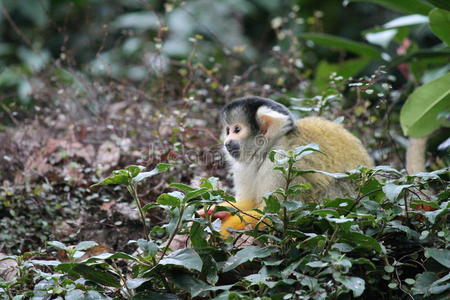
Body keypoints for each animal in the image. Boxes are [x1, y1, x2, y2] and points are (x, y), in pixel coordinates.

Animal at [202, 96, 374, 237]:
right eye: (228, 130)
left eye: (237, 130)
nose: (227, 142)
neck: (271, 145)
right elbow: (251, 203)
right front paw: (217, 210)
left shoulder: (281, 161)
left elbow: (274, 216)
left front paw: (222, 232)